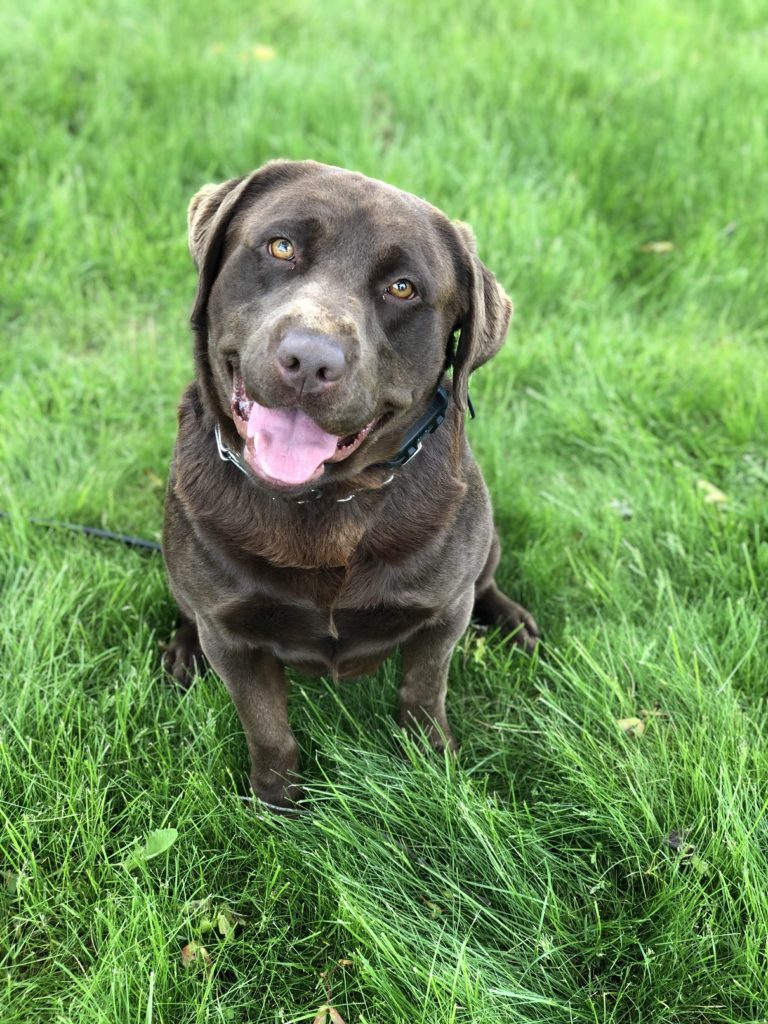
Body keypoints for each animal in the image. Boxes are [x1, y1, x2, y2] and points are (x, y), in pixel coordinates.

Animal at [162, 159, 536, 811]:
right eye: (281, 247)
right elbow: (267, 727)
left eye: (403, 288)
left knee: (486, 580)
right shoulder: (233, 637)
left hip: (483, 549)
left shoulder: (443, 613)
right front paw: (278, 805)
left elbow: (423, 692)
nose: (310, 361)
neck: (326, 503)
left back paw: (514, 622)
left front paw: (431, 766)